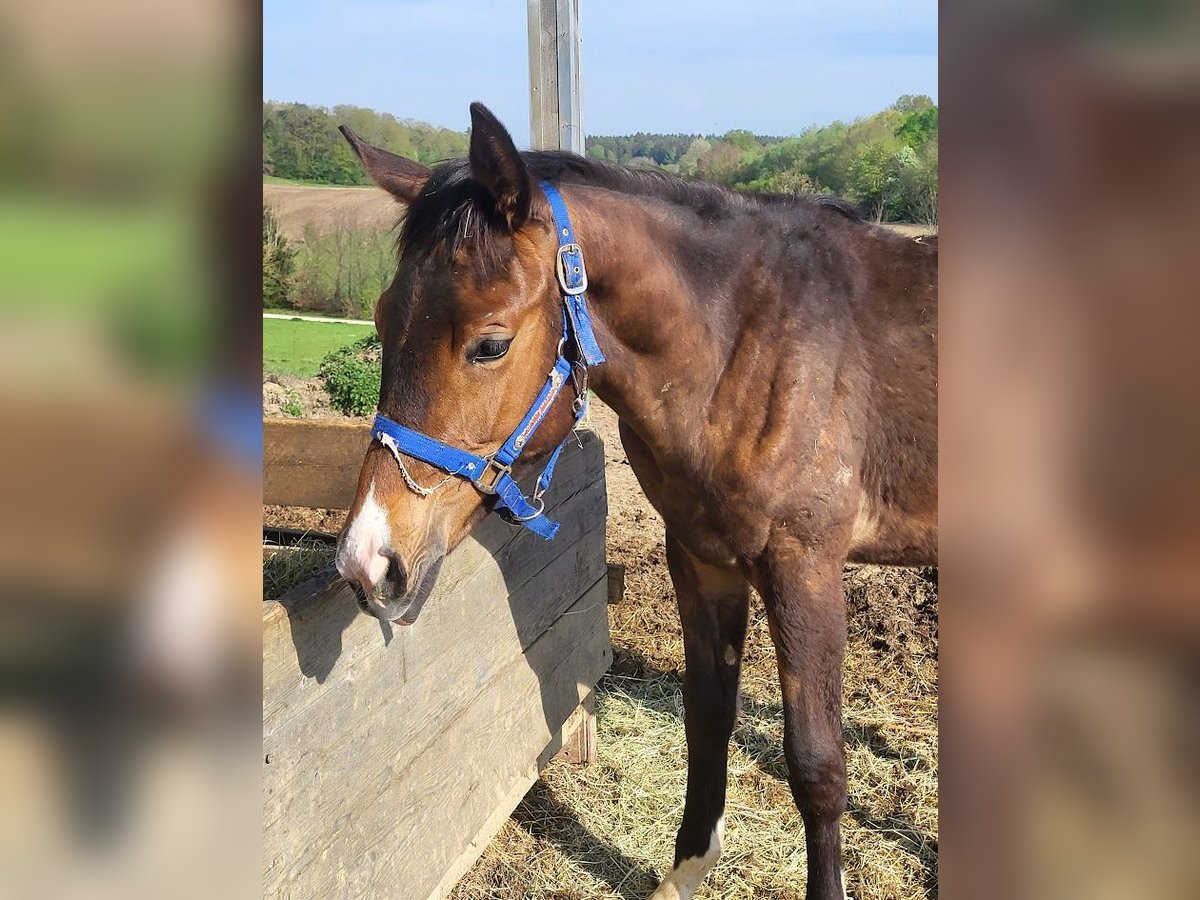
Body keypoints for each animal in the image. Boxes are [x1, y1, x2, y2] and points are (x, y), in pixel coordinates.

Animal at [336, 102, 936, 900]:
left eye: (490, 345)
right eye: (380, 318)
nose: (369, 561)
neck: (750, 342)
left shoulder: (804, 568)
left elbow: (817, 767)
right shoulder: (703, 559)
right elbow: (706, 718)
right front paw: (686, 871)